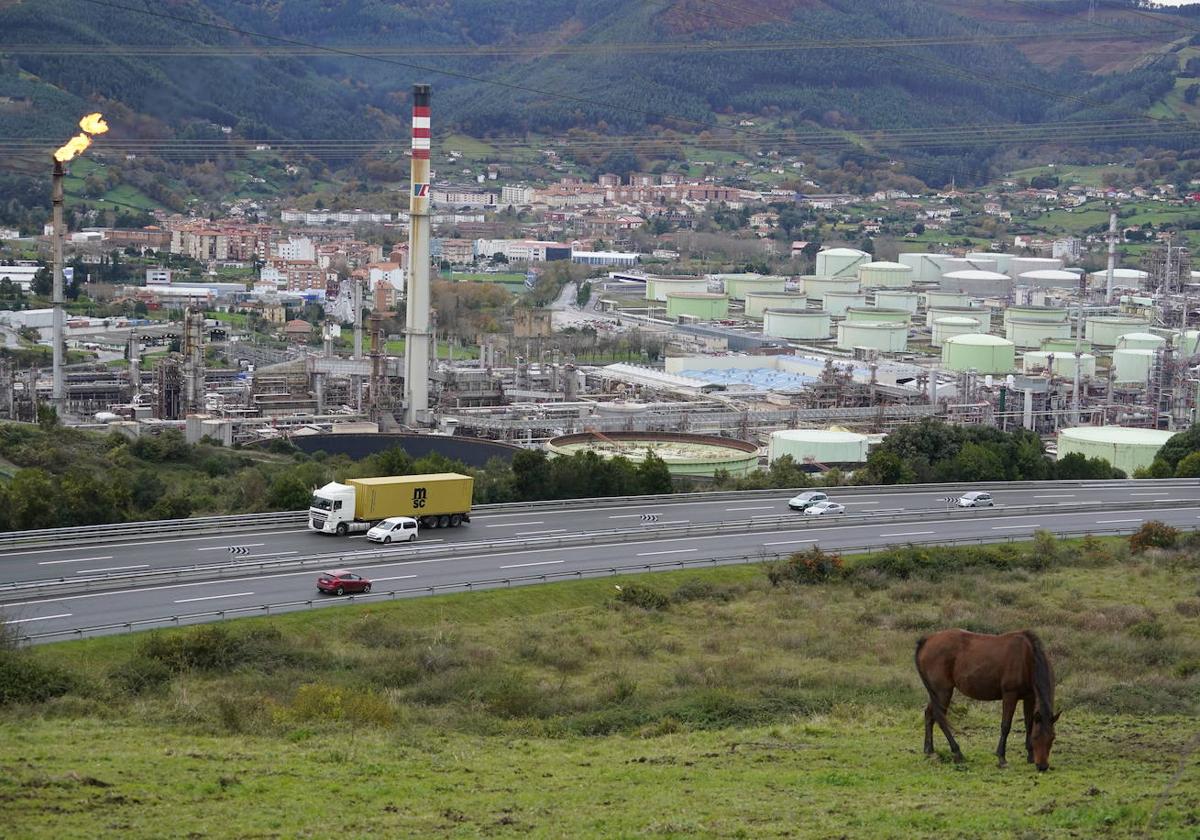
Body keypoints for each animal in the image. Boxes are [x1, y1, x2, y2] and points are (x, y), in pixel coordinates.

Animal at [912, 628, 1056, 768]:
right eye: (1036, 738)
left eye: (1052, 738)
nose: (1042, 766)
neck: (1027, 658)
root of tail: (927, 640)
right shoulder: (1010, 695)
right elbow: (1006, 726)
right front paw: (1002, 758)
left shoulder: (1029, 697)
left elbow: (1029, 724)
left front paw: (1030, 756)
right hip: (943, 692)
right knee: (939, 718)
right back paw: (957, 752)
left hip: (936, 693)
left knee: (929, 714)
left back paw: (929, 750)